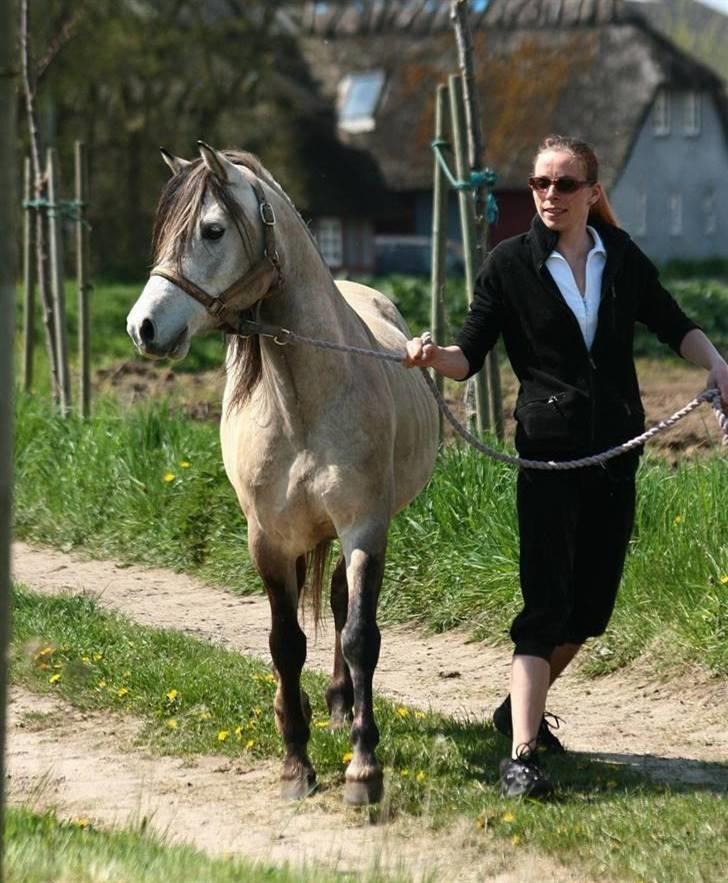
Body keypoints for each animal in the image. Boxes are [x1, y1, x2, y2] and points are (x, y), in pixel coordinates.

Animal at [126, 142, 438, 804]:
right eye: (163, 232)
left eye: (212, 230)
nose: (143, 328)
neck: (303, 401)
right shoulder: (266, 539)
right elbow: (283, 642)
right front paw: (296, 762)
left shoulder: (364, 528)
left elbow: (360, 636)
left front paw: (363, 766)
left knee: (342, 606)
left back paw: (342, 704)